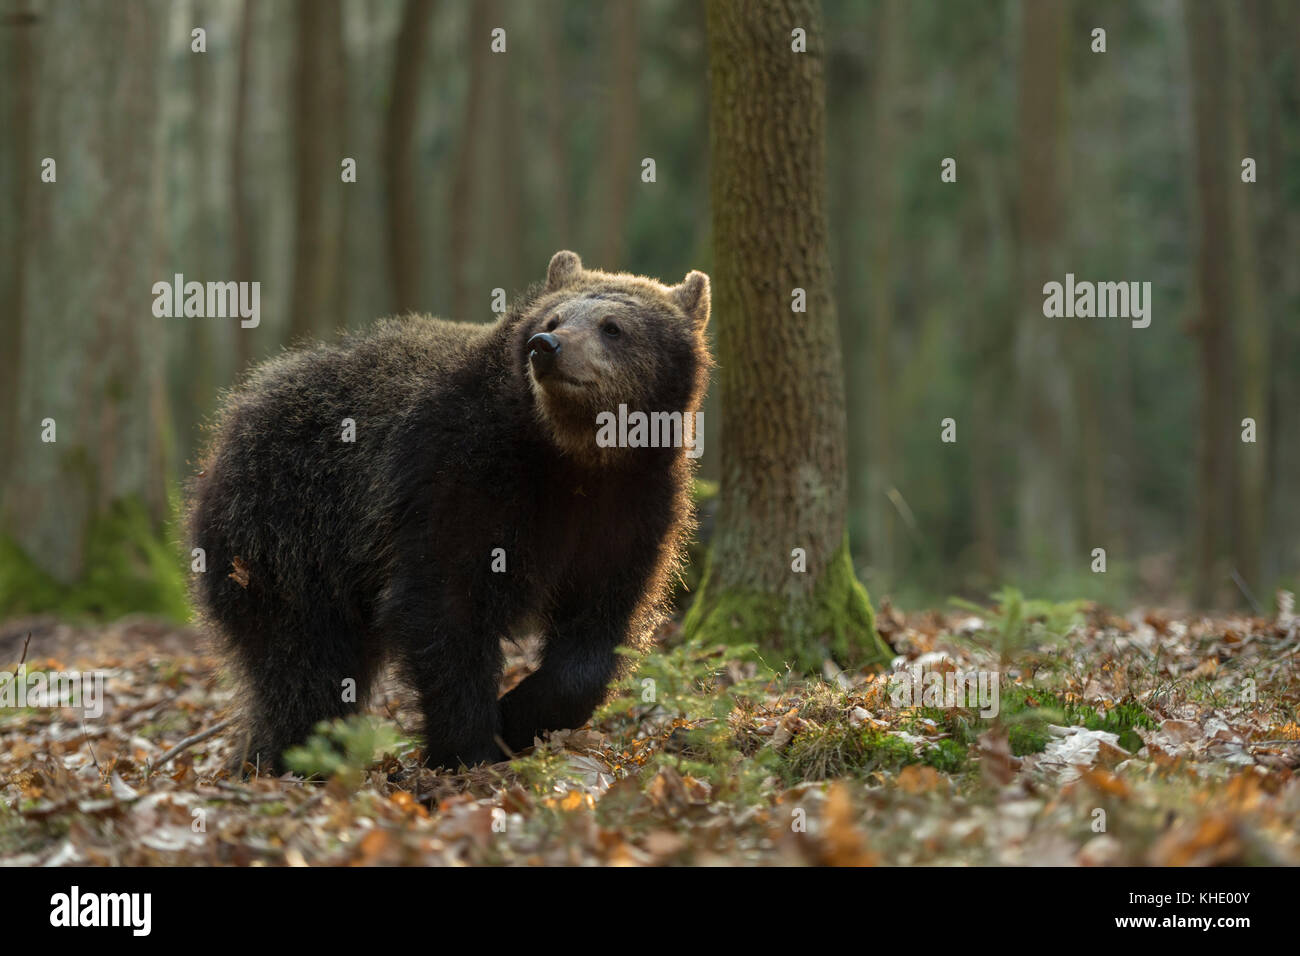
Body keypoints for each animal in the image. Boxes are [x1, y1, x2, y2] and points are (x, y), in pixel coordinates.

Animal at [188, 251, 712, 773]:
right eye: (553, 318)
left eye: (612, 327)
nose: (547, 346)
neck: (574, 456)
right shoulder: (458, 475)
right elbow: (445, 601)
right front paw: (470, 745)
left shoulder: (632, 508)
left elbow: (600, 624)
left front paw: (520, 715)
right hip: (289, 535)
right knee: (305, 663)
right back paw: (289, 756)